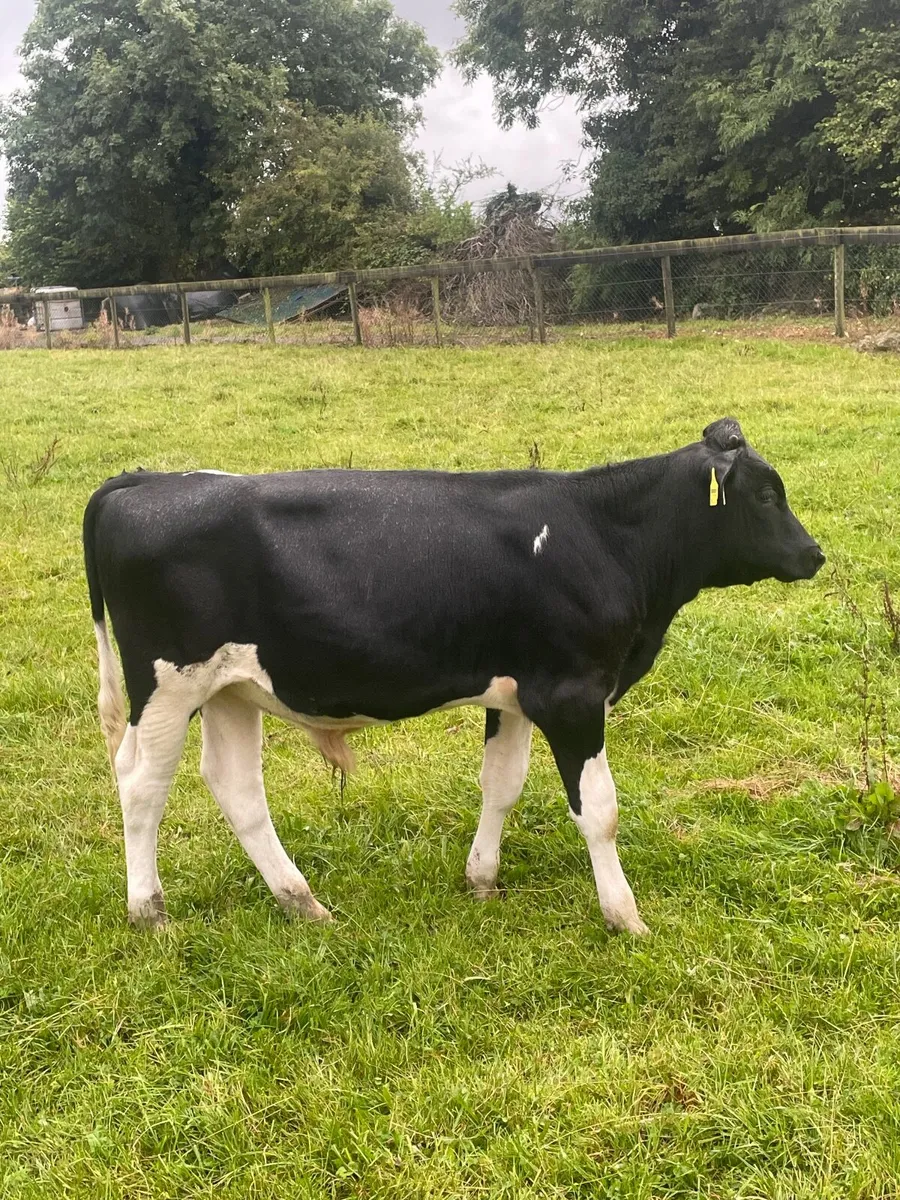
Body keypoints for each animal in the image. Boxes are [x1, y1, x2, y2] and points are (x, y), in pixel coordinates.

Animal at [83, 418, 824, 934]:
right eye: (766, 495)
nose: (815, 554)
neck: (602, 535)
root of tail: (149, 479)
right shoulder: (573, 696)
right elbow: (600, 811)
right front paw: (625, 916)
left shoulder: (519, 693)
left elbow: (501, 786)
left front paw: (482, 880)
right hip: (167, 685)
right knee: (141, 784)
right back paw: (149, 911)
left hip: (231, 688)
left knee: (236, 787)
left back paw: (303, 903)